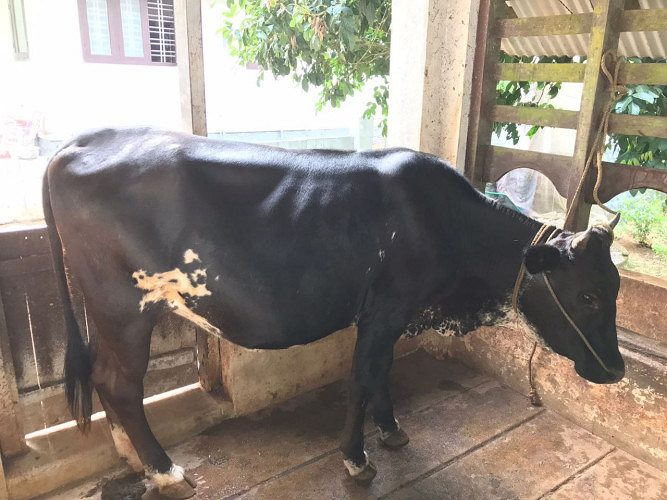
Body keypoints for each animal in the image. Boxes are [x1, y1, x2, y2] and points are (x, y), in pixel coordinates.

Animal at [43, 127, 624, 498]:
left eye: (616, 287)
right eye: (589, 296)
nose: (617, 371)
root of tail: (83, 141)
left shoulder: (394, 315)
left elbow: (383, 371)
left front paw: (391, 431)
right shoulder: (385, 309)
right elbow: (363, 377)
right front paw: (357, 460)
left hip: (106, 311)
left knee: (104, 376)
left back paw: (130, 454)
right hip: (122, 305)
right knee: (119, 382)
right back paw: (165, 471)